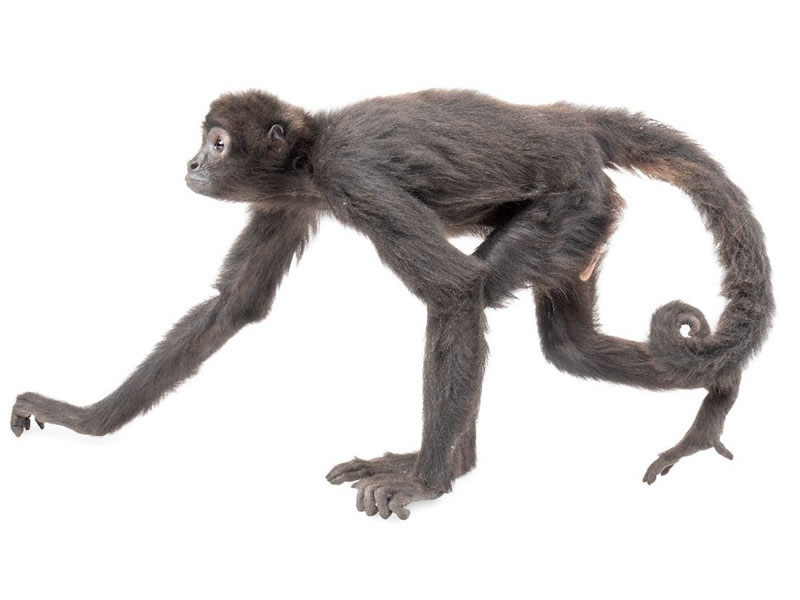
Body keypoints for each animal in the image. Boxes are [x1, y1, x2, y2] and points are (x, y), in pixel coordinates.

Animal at [11, 89, 774, 520]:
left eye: (217, 143)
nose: (193, 164)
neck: (312, 149)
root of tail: (565, 122)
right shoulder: (293, 197)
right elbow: (233, 307)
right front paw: (85, 420)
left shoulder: (350, 177)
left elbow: (455, 291)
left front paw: (428, 486)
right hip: (589, 221)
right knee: (570, 346)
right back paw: (720, 388)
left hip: (571, 204)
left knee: (476, 295)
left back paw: (440, 470)